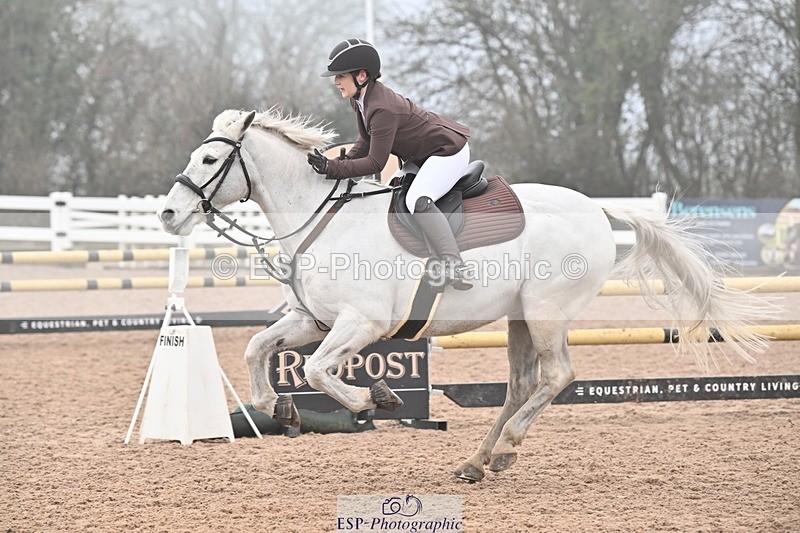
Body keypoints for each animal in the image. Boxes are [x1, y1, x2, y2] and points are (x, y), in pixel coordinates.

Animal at [158, 109, 775, 482]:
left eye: (209, 160)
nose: (168, 214)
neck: (326, 218)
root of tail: (599, 210)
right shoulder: (314, 321)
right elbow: (257, 349)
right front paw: (275, 406)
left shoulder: (360, 323)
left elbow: (315, 371)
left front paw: (371, 400)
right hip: (520, 318)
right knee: (522, 385)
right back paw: (477, 462)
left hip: (546, 314)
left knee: (558, 376)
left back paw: (504, 449)